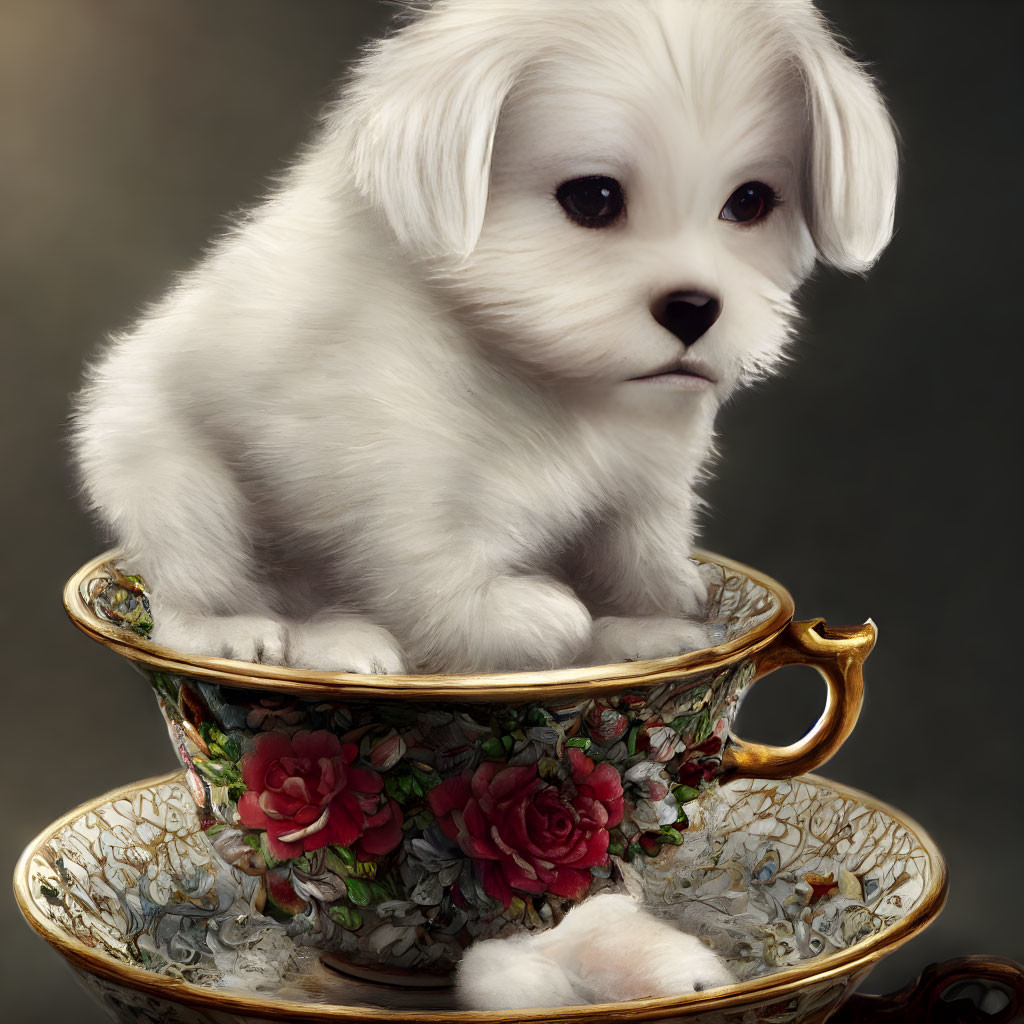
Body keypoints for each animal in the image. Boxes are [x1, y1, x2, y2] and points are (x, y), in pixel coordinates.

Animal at [70, 0, 897, 679]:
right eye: (593, 198)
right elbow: (451, 584)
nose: (695, 308)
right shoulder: (393, 487)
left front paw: (657, 616)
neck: (550, 381)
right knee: (197, 594)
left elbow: (642, 554)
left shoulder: (646, 483)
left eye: (750, 202)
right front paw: (537, 618)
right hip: (177, 485)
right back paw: (288, 639)